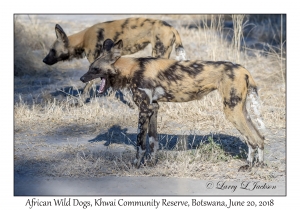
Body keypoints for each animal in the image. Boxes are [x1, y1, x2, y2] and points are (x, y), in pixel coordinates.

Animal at [43, 17, 186, 96]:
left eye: (52, 50)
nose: (44, 60)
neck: (83, 39)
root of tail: (172, 28)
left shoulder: (95, 66)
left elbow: (85, 90)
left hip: (158, 53)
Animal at [81, 38, 266, 171]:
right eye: (90, 67)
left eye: (94, 69)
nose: (82, 78)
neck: (131, 68)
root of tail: (244, 69)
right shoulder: (153, 108)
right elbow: (153, 142)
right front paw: (152, 164)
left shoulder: (144, 110)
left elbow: (140, 144)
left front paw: (135, 165)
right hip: (241, 110)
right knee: (260, 138)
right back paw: (259, 165)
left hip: (231, 111)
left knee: (252, 140)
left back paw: (249, 166)